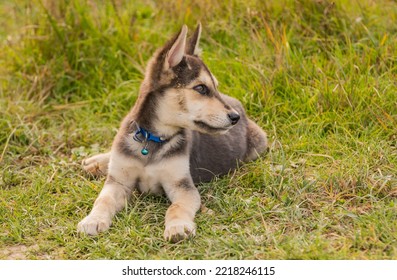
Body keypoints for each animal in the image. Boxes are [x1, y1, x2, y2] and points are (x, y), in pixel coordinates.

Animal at [78, 24, 266, 243]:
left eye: (215, 88)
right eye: (201, 88)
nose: (234, 117)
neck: (151, 139)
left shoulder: (182, 186)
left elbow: (176, 208)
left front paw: (178, 226)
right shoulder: (118, 181)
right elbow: (103, 200)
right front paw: (93, 219)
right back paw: (95, 162)